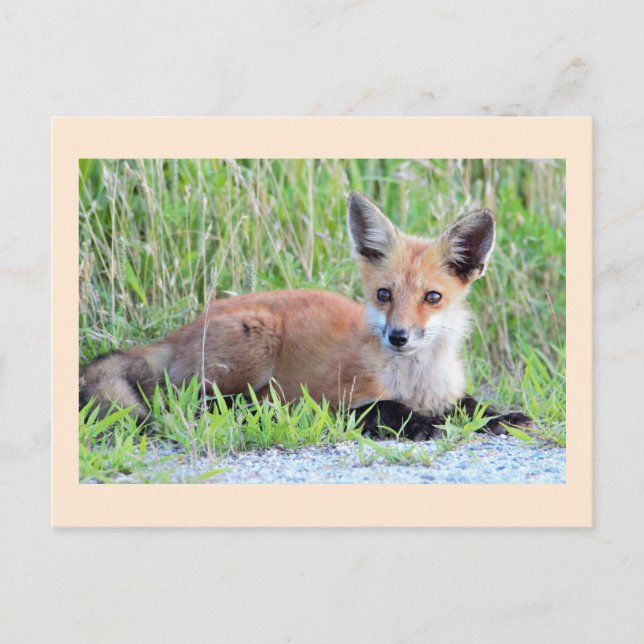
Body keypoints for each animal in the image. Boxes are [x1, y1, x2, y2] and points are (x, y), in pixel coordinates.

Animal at [80, 191, 531, 439]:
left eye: (432, 297)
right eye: (384, 295)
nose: (398, 336)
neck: (414, 380)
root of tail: (180, 330)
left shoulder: (446, 393)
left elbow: (471, 404)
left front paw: (501, 416)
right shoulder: (334, 401)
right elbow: (385, 408)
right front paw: (421, 424)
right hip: (255, 342)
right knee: (192, 403)